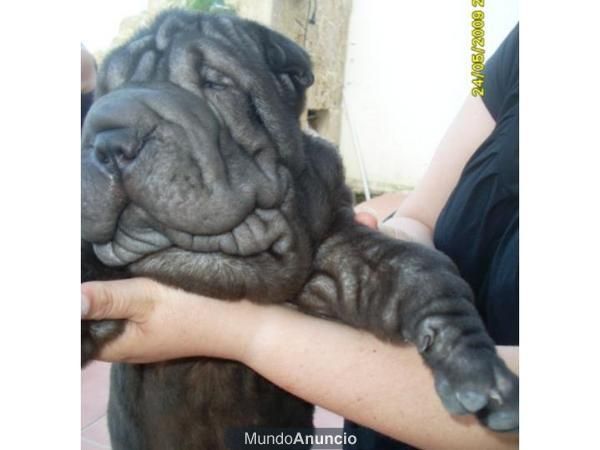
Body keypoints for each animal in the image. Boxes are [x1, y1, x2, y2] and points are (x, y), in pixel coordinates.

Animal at [82, 7, 516, 450]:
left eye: (215, 83)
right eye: (103, 94)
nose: (110, 140)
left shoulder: (337, 252)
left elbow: (418, 271)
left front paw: (477, 370)